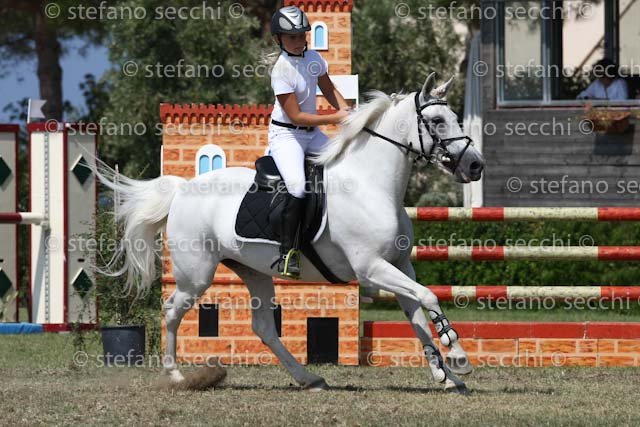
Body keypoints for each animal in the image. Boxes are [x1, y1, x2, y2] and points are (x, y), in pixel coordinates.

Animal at [94, 73, 485, 394]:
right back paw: (176, 375)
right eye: (437, 121)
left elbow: (417, 314)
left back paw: (308, 378)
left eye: (454, 118)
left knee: (264, 328)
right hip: (197, 274)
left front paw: (446, 375)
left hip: (253, 272)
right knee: (173, 310)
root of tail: (183, 189)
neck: (372, 184)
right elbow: (429, 298)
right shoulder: (371, 269)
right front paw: (458, 356)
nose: (475, 165)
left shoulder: (401, 265)